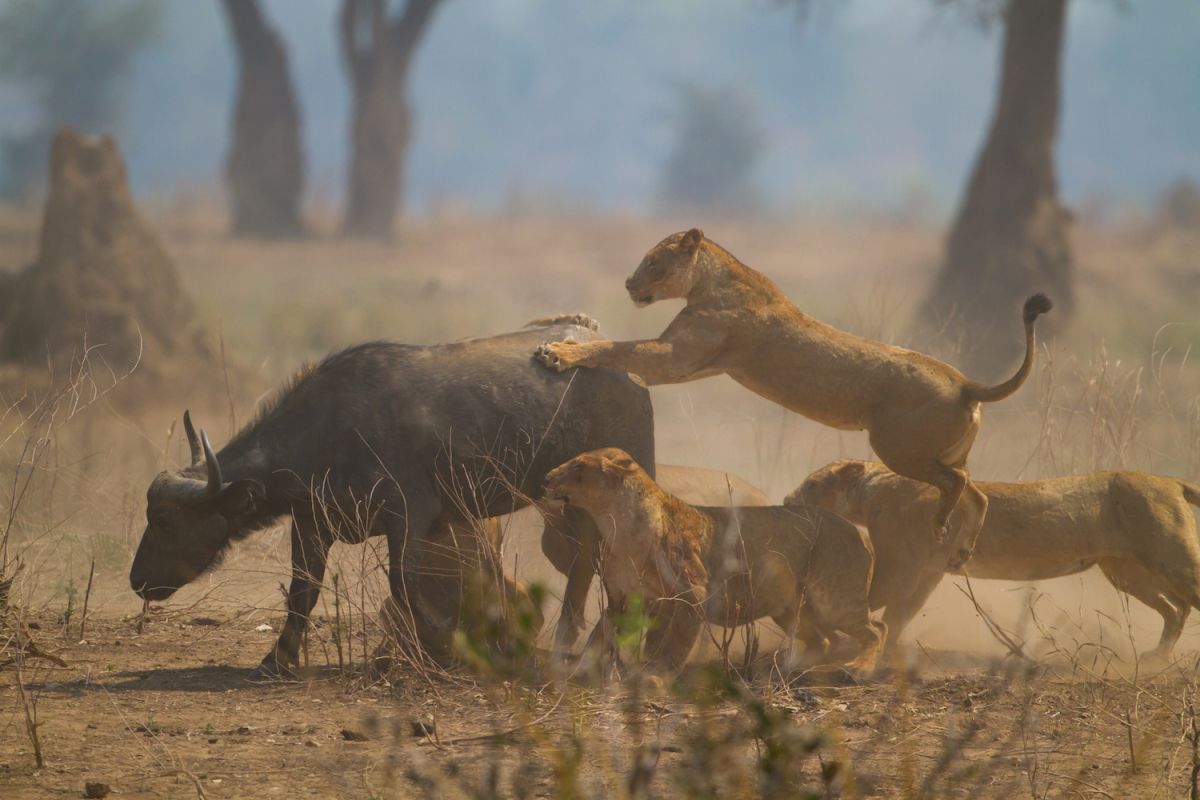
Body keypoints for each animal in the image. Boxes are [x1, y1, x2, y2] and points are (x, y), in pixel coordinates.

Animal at [129, 319, 657, 676]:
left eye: (166, 520)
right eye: (152, 513)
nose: (137, 581)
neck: (327, 434)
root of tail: (628, 371)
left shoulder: (409, 514)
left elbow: (403, 585)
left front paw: (445, 647)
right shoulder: (312, 523)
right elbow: (303, 591)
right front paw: (276, 658)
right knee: (585, 564)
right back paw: (572, 646)